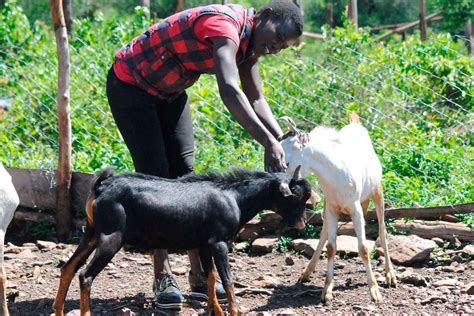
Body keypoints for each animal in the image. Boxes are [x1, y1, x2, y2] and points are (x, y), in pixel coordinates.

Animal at [53, 167, 312, 314]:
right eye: (295, 197)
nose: (302, 223)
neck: (234, 197)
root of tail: (101, 187)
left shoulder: (204, 244)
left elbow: (211, 276)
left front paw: (215, 310)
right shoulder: (219, 243)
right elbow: (228, 280)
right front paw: (234, 311)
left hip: (91, 234)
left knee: (68, 268)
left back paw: (59, 310)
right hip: (110, 238)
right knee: (85, 276)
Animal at [280, 114, 398, 304]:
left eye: (286, 159)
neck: (335, 172)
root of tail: (355, 123)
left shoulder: (356, 208)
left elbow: (364, 248)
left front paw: (374, 290)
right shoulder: (331, 208)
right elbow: (330, 247)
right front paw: (327, 289)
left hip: (377, 192)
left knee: (382, 230)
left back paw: (390, 276)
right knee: (324, 233)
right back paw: (307, 272)